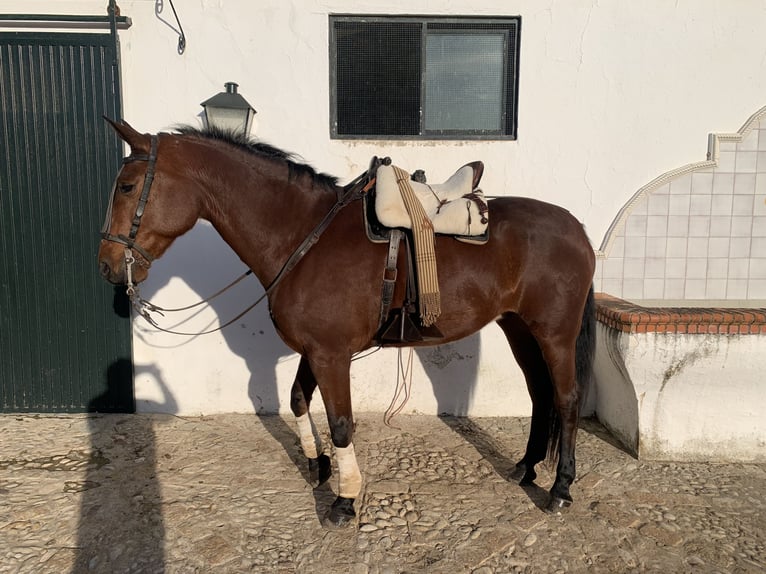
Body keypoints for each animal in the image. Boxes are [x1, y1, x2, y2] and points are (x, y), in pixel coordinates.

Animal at [99, 121, 596, 532]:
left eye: (126, 186)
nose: (106, 264)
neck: (301, 236)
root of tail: (577, 227)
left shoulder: (332, 355)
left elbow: (341, 423)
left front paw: (344, 499)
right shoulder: (315, 351)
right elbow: (298, 400)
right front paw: (316, 466)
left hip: (554, 334)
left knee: (567, 399)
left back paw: (560, 489)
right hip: (518, 329)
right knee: (540, 394)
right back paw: (526, 468)